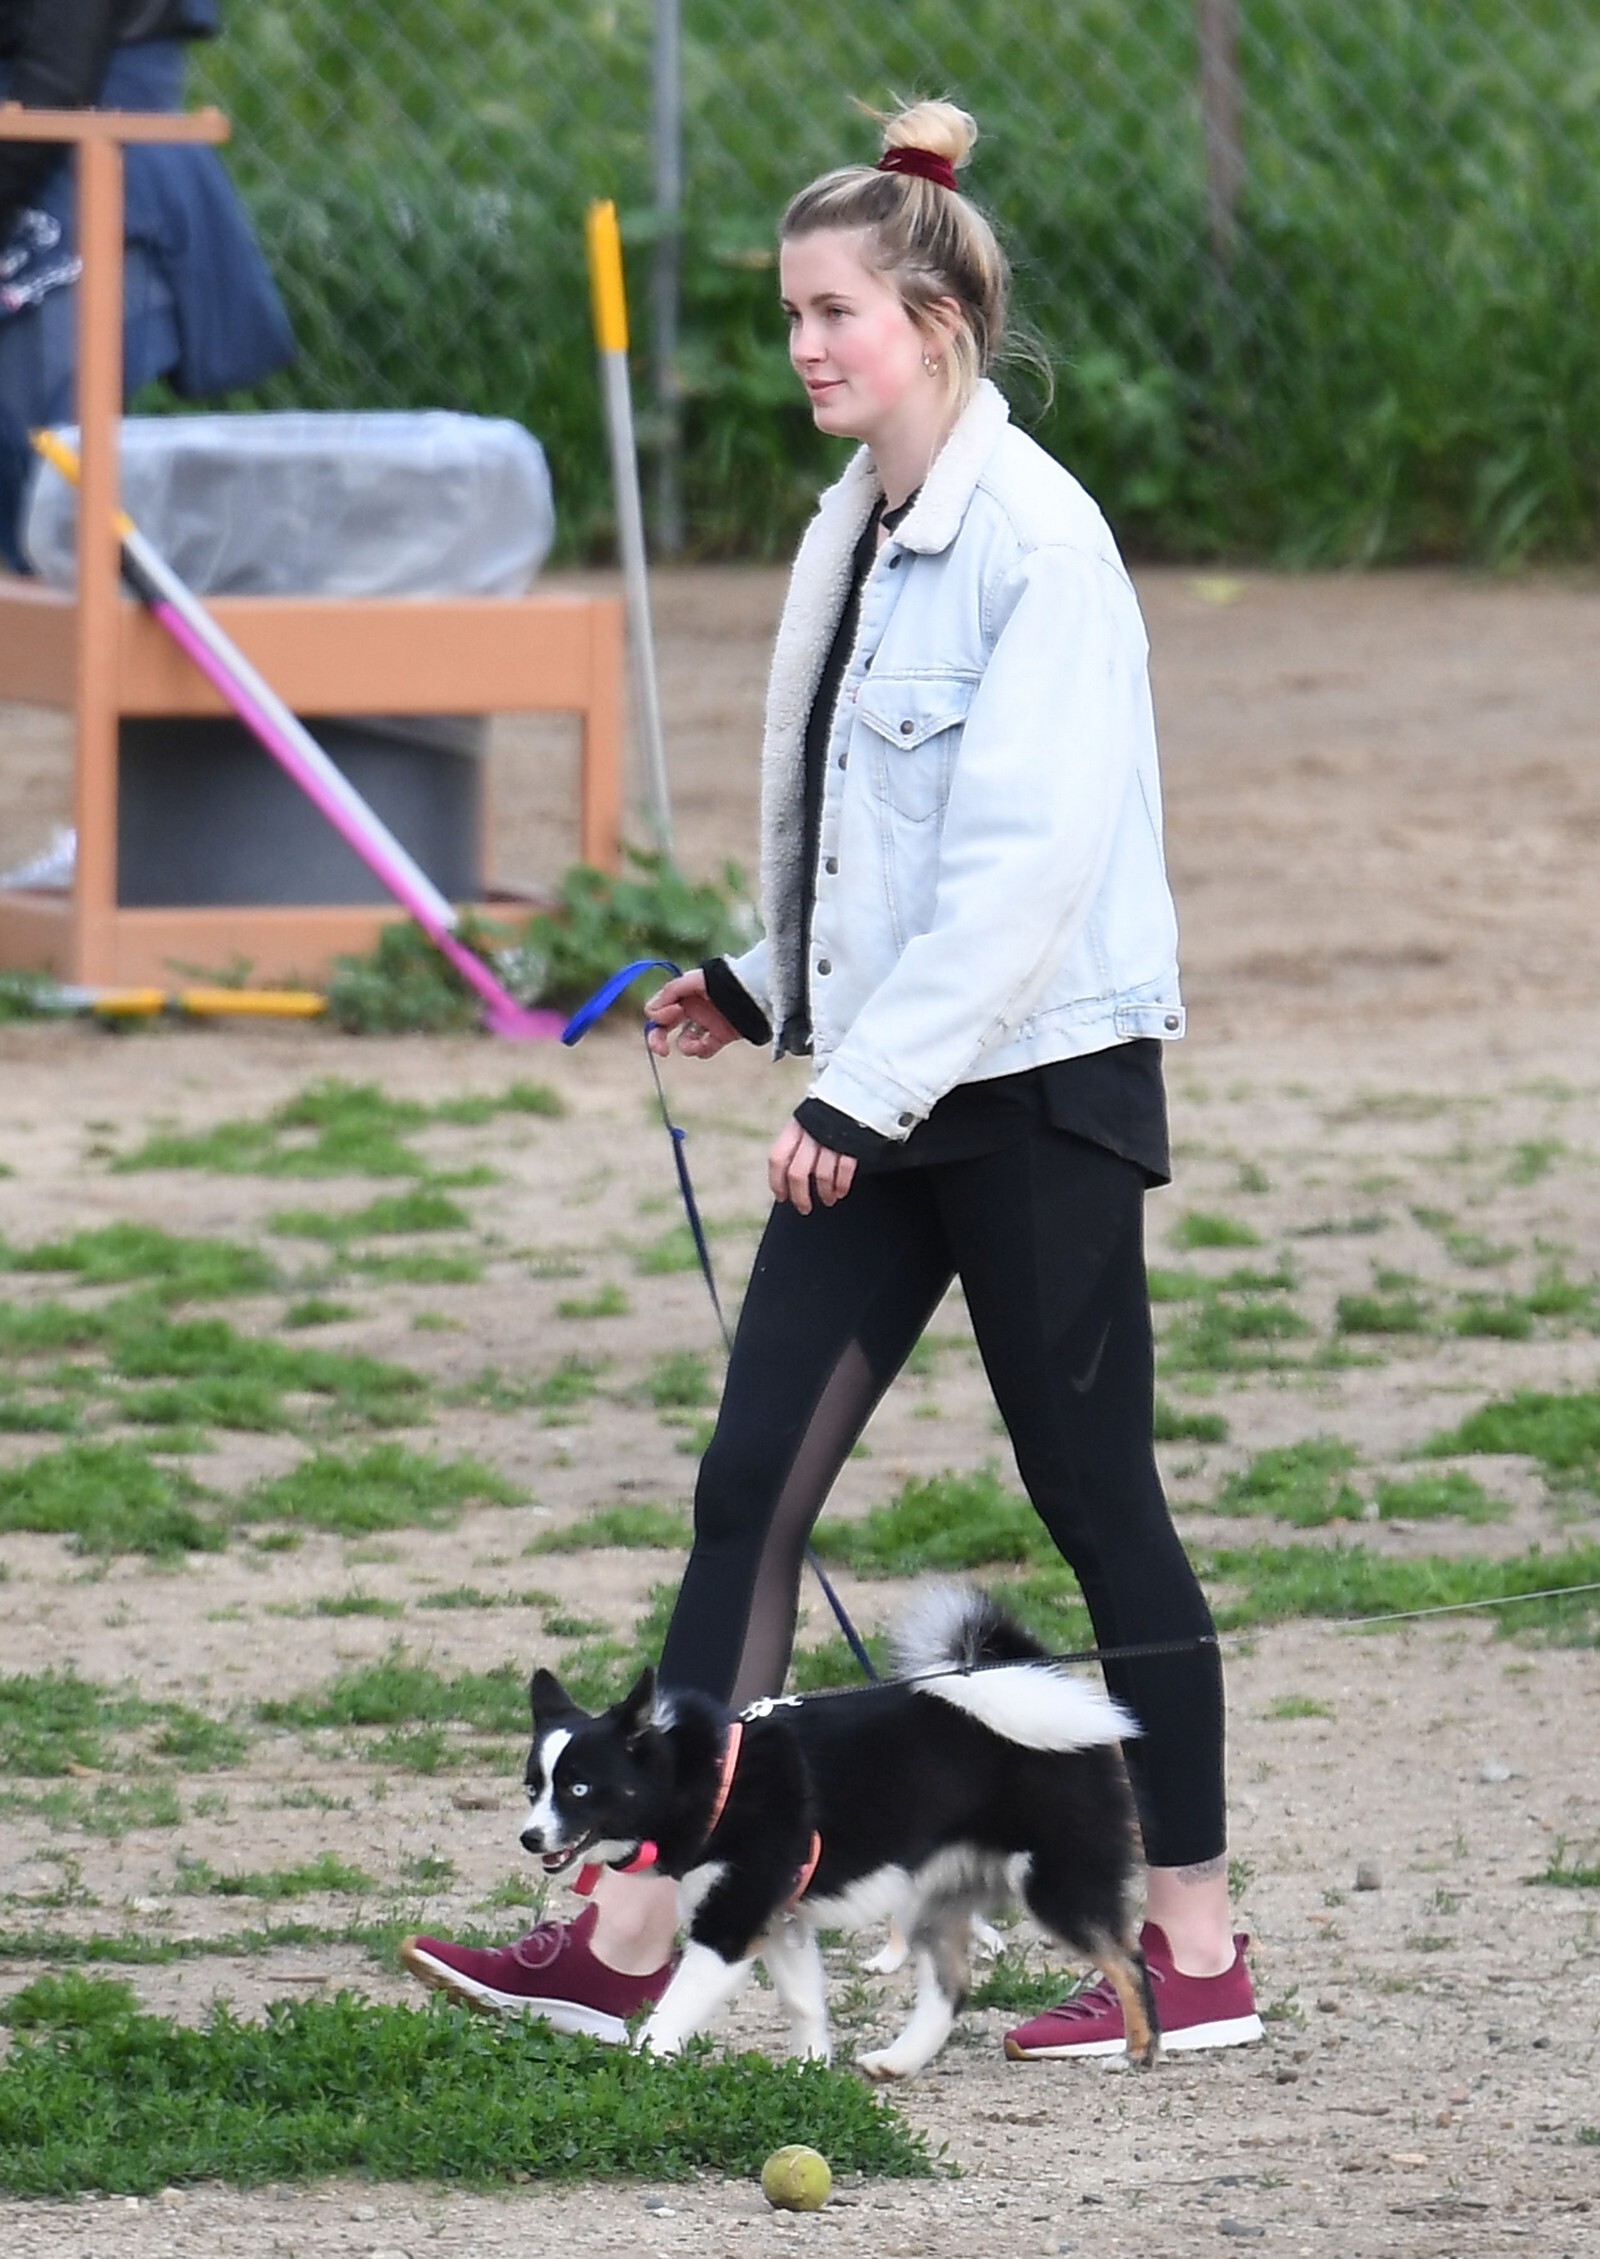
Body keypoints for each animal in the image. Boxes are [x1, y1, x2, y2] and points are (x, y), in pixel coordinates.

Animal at [519, 1584, 1159, 2077]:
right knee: (952, 1987)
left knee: (1127, 1959)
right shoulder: (783, 1922)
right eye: (533, 1787)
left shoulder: (730, 1925)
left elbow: (671, 2011)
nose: (529, 1838)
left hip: (1054, 1881)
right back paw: (899, 2062)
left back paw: (1137, 2053)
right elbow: (804, 2003)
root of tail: (1035, 1686)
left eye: (579, 1788)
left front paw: (638, 2066)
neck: (711, 1775)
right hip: (932, 1899)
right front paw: (811, 2072)